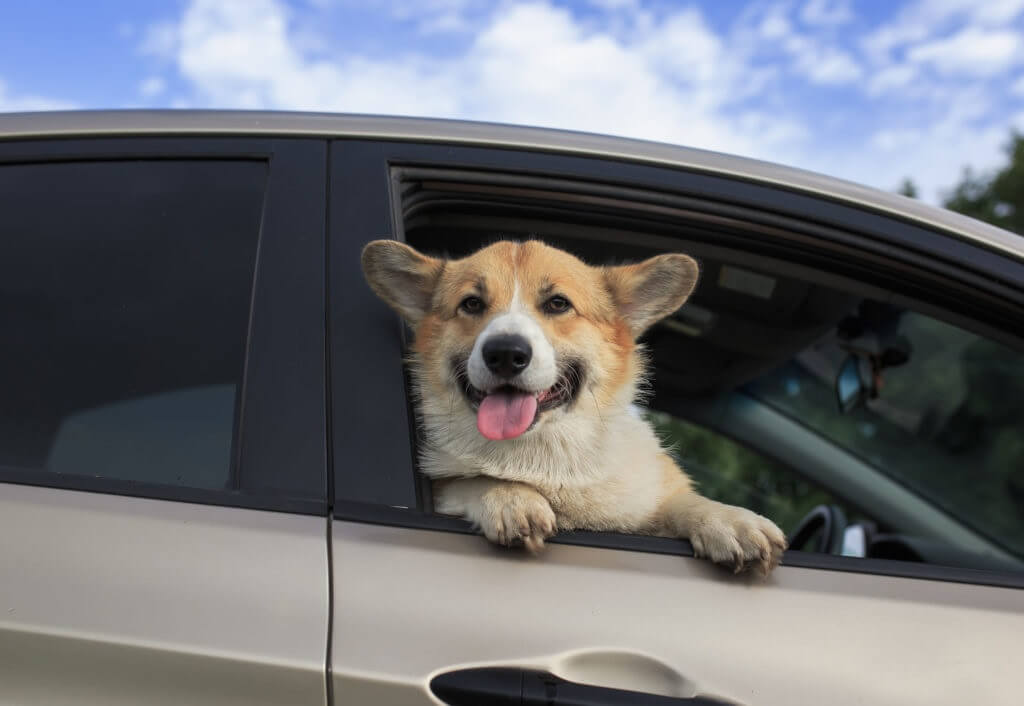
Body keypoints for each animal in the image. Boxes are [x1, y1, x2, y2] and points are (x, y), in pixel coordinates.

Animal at [364, 236, 786, 573]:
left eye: (557, 303)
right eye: (471, 304)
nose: (505, 354)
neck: (546, 455)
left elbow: (682, 502)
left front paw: (730, 520)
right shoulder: (445, 487)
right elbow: (471, 480)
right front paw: (510, 497)